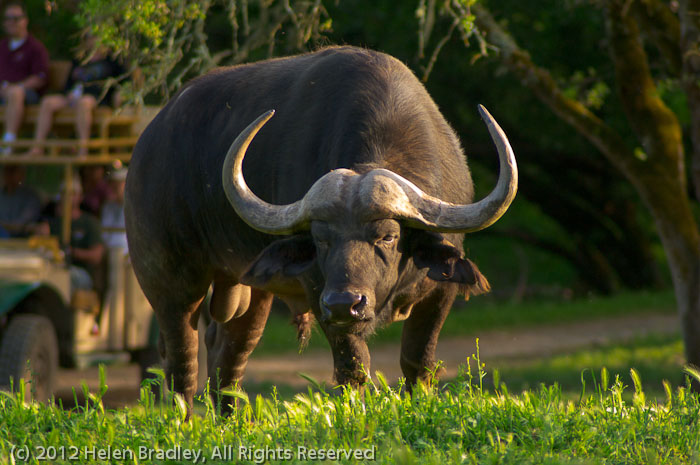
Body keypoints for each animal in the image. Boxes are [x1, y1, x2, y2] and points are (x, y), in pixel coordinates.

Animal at [124, 44, 516, 406]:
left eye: (389, 236)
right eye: (321, 238)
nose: (345, 303)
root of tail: (145, 145)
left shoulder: (440, 291)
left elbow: (418, 363)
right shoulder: (320, 295)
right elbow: (353, 367)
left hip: (249, 288)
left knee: (228, 355)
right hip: (169, 281)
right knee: (182, 362)